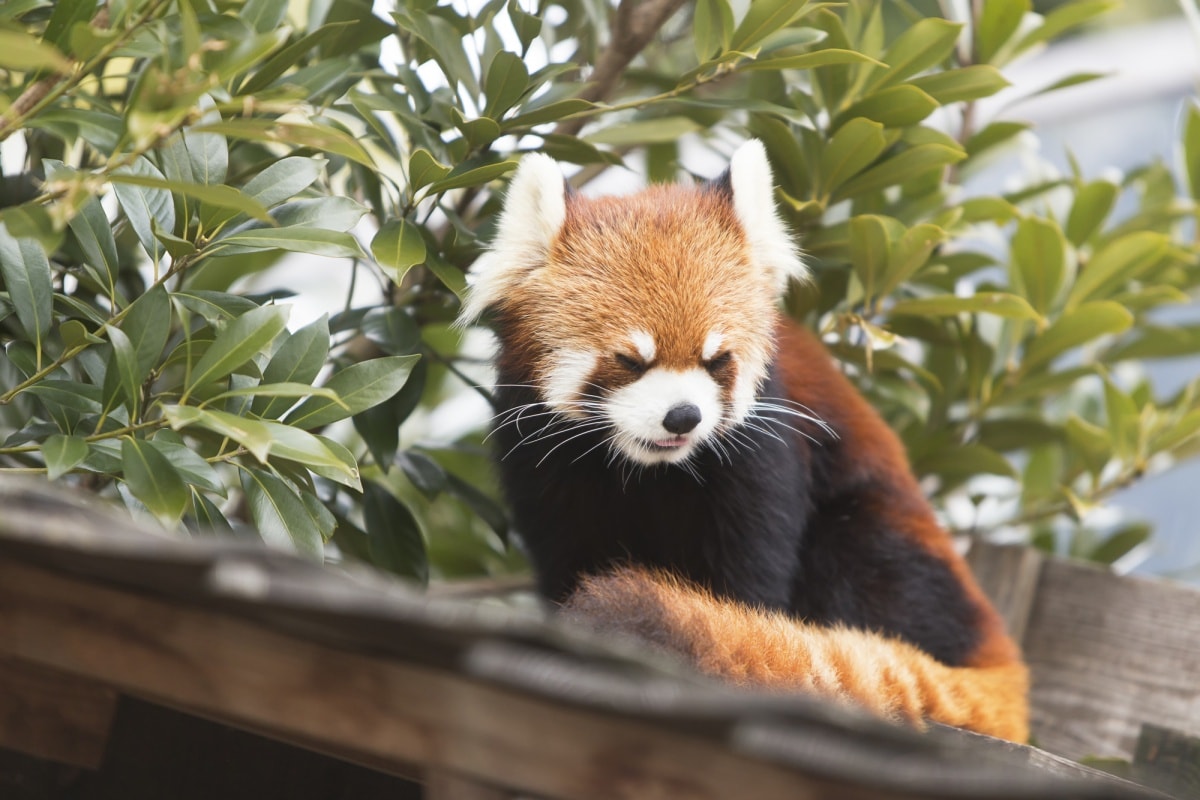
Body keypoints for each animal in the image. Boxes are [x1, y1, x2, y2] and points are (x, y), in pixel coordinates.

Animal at [458, 139, 1032, 743]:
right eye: (630, 361)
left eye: (717, 360)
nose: (683, 417)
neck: (648, 471)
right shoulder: (545, 466)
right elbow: (568, 555)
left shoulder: (760, 458)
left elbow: (749, 576)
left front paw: (739, 638)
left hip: (887, 542)